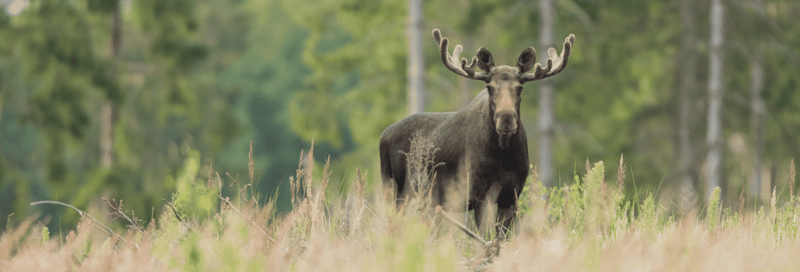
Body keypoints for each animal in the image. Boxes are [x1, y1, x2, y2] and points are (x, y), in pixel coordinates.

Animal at [378, 28, 572, 235]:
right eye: (489, 88)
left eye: (519, 88)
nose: (506, 119)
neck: (504, 156)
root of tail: (384, 134)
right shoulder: (481, 196)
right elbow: (484, 237)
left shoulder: (511, 197)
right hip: (394, 189)